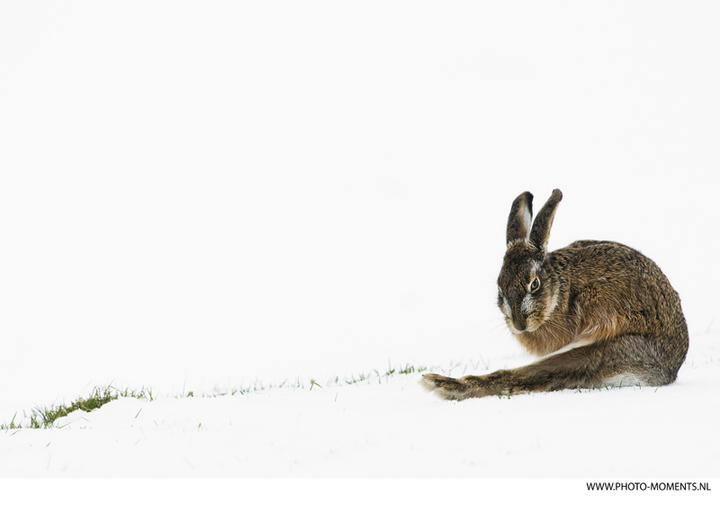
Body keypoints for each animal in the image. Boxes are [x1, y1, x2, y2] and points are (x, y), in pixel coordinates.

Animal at [421, 189, 689, 400]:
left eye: (534, 284)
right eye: (499, 288)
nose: (519, 325)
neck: (560, 289)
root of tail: (670, 369)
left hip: (607, 350)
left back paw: (441, 385)